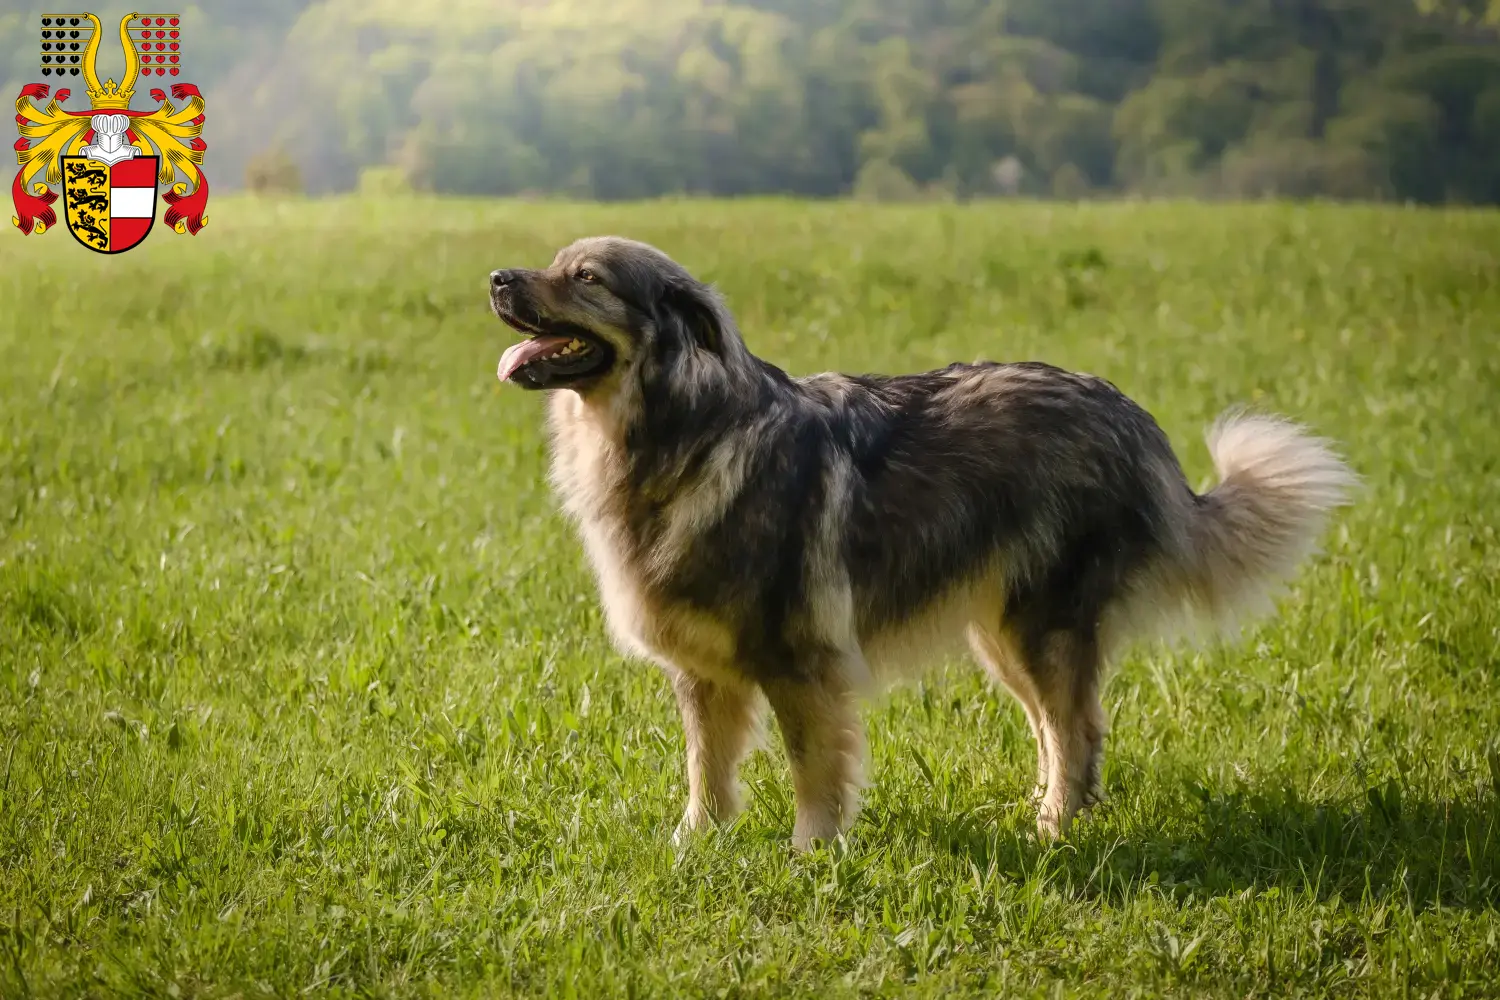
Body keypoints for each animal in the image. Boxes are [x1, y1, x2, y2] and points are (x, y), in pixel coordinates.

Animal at [489, 236, 1362, 851]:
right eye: (555, 265)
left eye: (586, 277)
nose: (498, 278)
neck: (683, 431)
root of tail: (1133, 421)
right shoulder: (706, 675)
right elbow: (707, 768)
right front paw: (695, 844)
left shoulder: (800, 662)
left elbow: (814, 767)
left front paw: (810, 852)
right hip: (1001, 634)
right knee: (1056, 729)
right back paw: (1043, 810)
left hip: (1040, 625)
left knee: (1076, 729)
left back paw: (1052, 831)